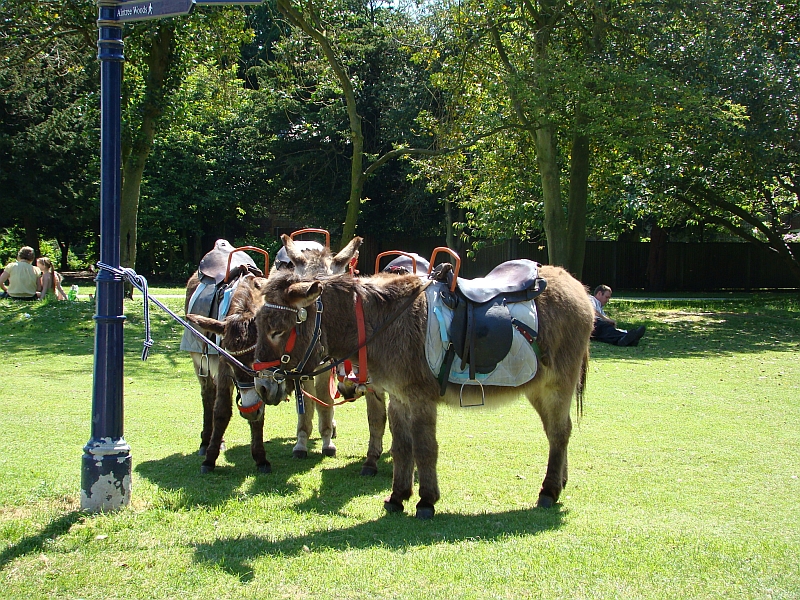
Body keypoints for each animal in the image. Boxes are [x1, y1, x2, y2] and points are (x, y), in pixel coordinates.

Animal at [184, 235, 364, 473]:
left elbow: (323, 401)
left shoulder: (322, 366)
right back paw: (207, 442)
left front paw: (327, 441)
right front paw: (300, 444)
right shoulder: (229, 363)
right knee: (208, 396)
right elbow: (223, 410)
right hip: (200, 363)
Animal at [251, 263, 593, 518]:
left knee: (559, 433)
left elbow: (426, 448)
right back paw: (560, 482)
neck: (383, 323)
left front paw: (426, 501)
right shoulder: (398, 398)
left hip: (557, 385)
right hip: (538, 388)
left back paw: (549, 491)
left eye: (277, 330)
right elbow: (402, 447)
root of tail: (576, 285)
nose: (262, 386)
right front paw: (397, 497)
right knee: (557, 433)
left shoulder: (420, 399)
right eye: (258, 326)